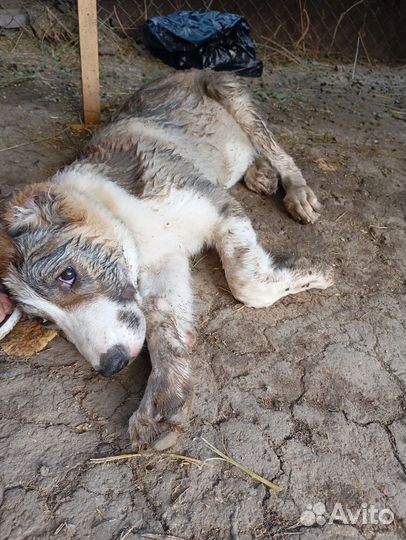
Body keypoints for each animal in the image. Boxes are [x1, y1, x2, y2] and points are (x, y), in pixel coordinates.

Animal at [0, 69, 334, 450]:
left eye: (67, 275)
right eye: (42, 321)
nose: (111, 365)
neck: (126, 220)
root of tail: (186, 70)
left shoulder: (218, 205)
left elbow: (246, 283)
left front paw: (314, 272)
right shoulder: (164, 264)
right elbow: (163, 325)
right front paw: (164, 402)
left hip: (234, 99)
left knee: (279, 154)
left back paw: (296, 192)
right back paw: (259, 174)